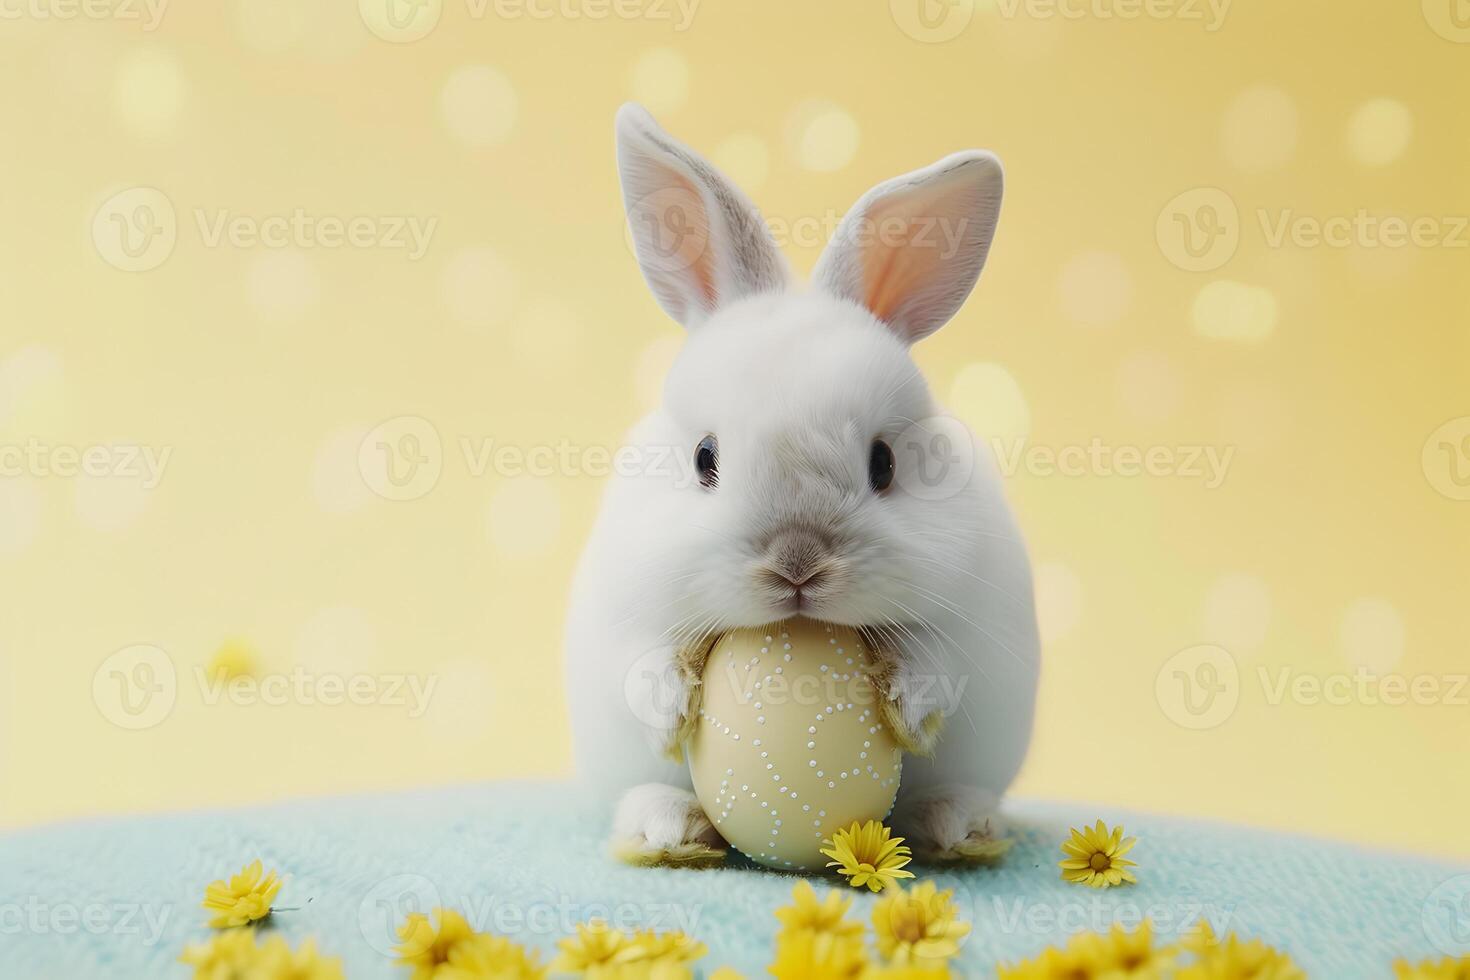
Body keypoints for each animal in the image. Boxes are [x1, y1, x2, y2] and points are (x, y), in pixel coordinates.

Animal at [564, 101, 1046, 863]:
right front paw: (668, 706)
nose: (797, 565)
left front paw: (914, 703)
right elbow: (639, 660)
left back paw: (959, 828)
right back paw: (669, 830)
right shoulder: (626, 609)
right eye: (704, 459)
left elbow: (938, 654)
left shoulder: (974, 615)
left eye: (883, 463)